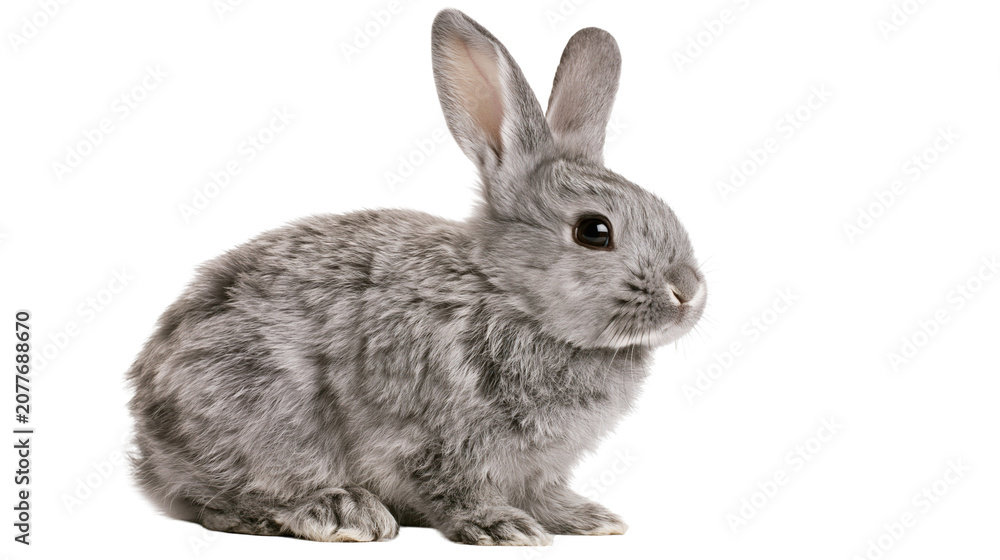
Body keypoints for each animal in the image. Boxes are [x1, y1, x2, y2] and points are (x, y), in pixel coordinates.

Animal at [126, 8, 706, 546]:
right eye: (594, 231)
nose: (689, 292)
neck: (507, 295)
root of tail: (148, 443)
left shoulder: (539, 466)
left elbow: (543, 492)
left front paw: (587, 519)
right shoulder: (435, 436)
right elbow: (455, 487)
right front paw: (502, 527)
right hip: (261, 415)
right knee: (224, 502)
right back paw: (341, 511)